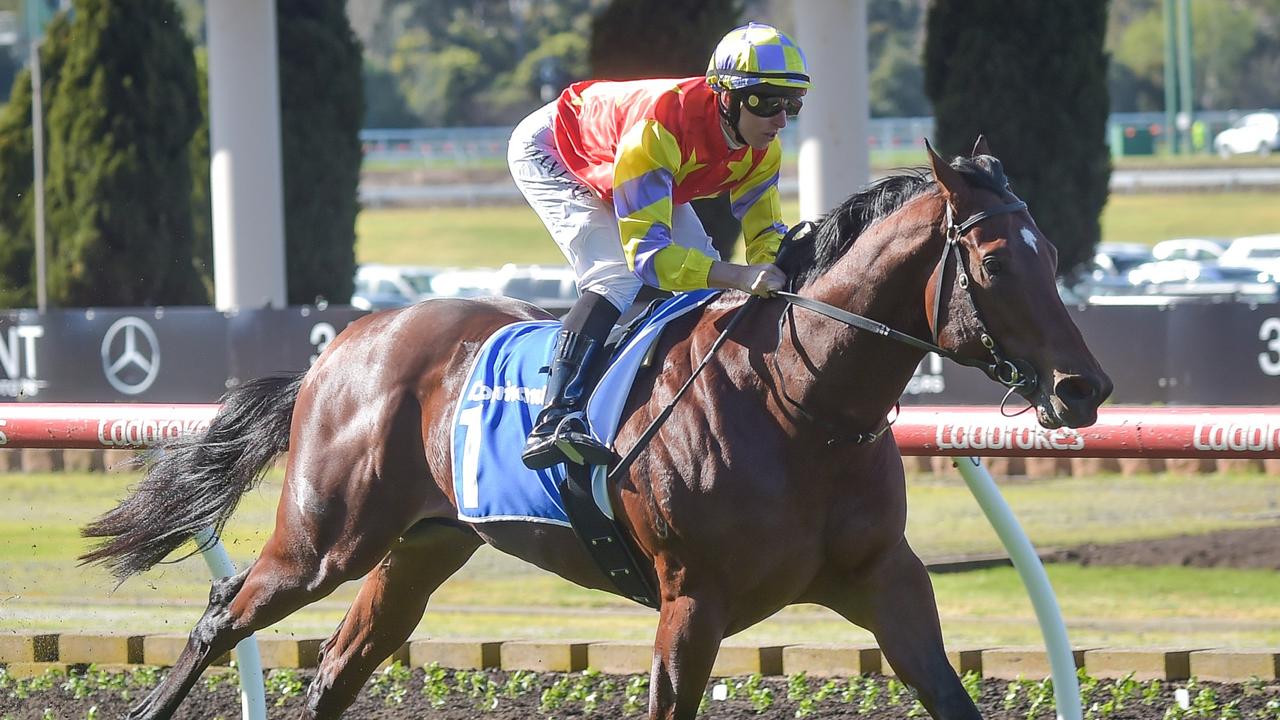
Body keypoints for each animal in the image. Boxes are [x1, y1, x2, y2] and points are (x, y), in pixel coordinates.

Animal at [85, 137, 1111, 712]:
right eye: (993, 259)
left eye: (1054, 251)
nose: (1084, 387)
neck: (800, 404)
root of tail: (342, 346)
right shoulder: (691, 602)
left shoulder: (887, 582)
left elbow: (949, 692)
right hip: (323, 540)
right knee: (222, 616)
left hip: (419, 547)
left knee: (338, 668)